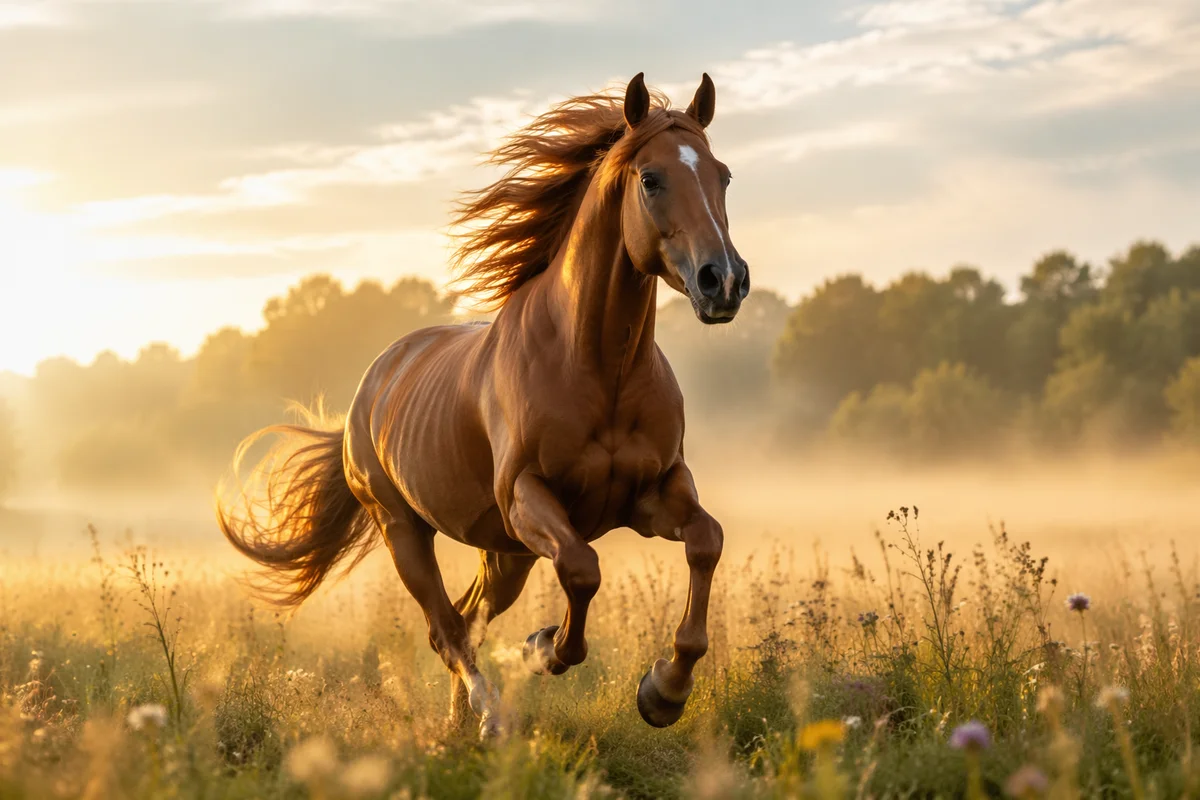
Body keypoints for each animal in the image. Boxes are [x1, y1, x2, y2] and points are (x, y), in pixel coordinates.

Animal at [217, 72, 749, 739]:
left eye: (723, 175)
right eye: (651, 179)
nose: (723, 281)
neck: (598, 369)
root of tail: (370, 387)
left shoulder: (655, 492)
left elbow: (707, 541)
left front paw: (664, 692)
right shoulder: (528, 497)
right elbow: (583, 569)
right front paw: (545, 649)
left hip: (505, 553)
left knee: (468, 617)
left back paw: (461, 722)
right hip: (406, 531)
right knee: (446, 627)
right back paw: (490, 715)